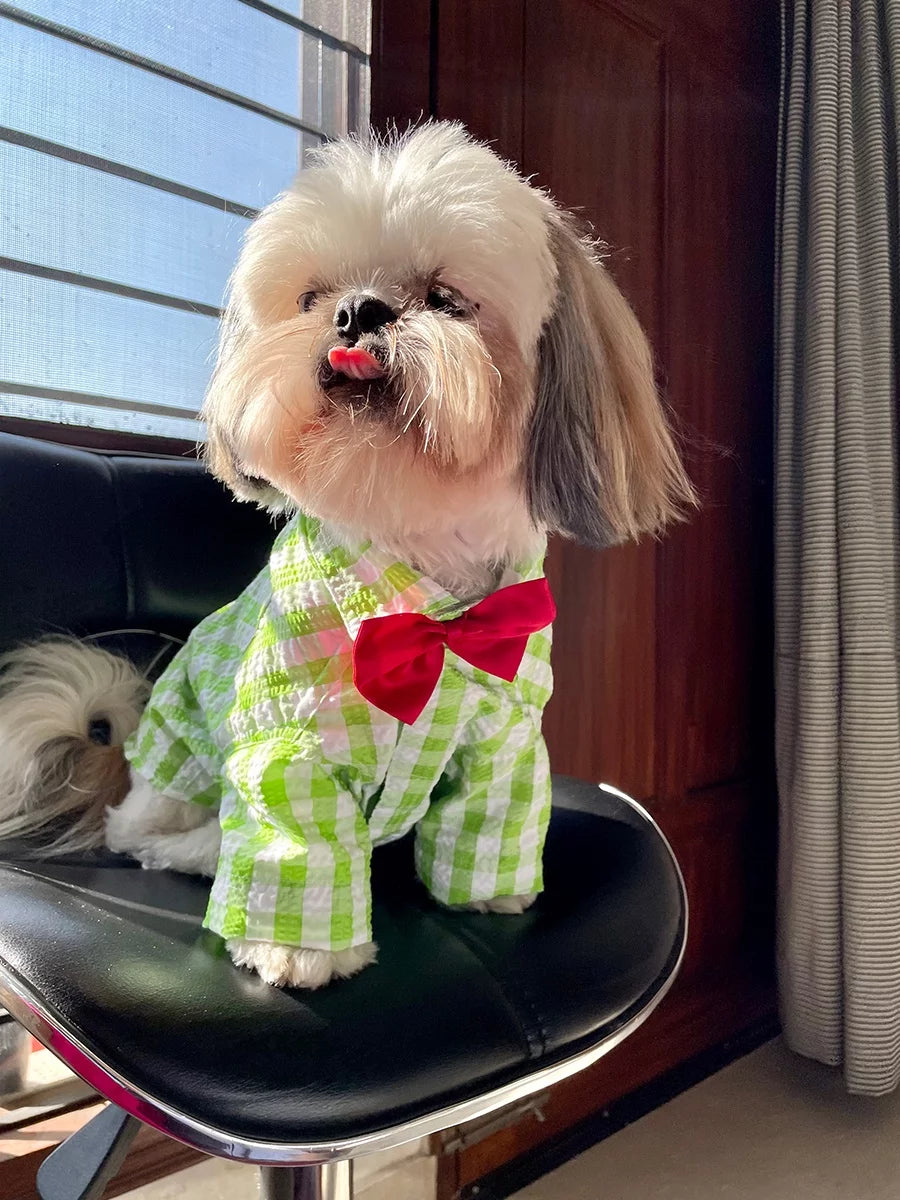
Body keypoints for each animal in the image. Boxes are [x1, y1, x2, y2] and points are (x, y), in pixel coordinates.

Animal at [0, 121, 696, 988]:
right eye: (308, 298)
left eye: (446, 298)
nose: (357, 311)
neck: (423, 589)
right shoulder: (288, 743)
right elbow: (296, 844)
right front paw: (299, 950)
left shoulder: (504, 739)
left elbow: (490, 823)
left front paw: (490, 895)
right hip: (172, 773)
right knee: (149, 840)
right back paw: (199, 851)